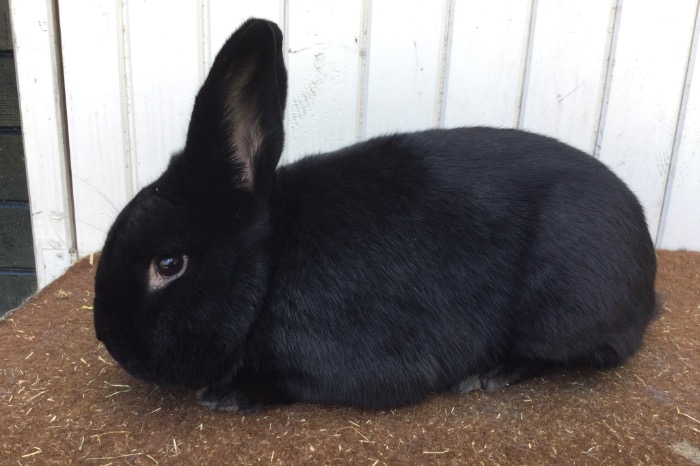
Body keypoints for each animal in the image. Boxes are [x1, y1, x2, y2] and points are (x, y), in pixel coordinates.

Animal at [93, 18, 656, 412]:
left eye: (169, 265)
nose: (109, 341)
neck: (272, 266)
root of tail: (647, 283)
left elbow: (292, 383)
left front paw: (226, 395)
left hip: (561, 305)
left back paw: (488, 374)